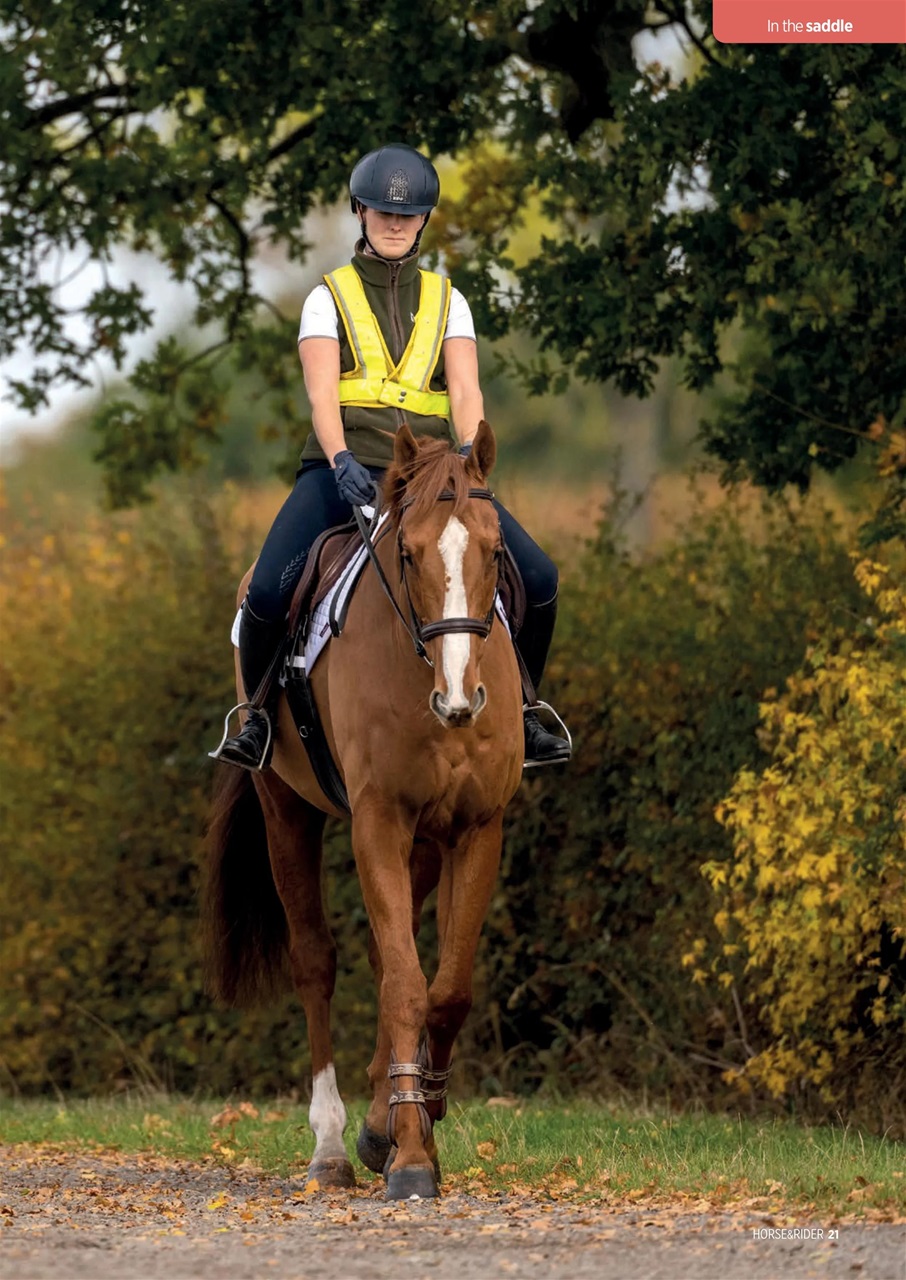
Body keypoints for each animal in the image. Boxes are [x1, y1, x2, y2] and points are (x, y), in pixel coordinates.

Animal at [203, 420, 523, 1200]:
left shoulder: (477, 829)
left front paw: (416, 1119)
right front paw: (407, 1155)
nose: (459, 698)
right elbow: (406, 985)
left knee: (387, 955)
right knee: (317, 960)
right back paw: (332, 1147)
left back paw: (384, 1117)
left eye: (494, 551)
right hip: (287, 809)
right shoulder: (379, 821)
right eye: (408, 554)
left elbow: (445, 987)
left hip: (426, 845)